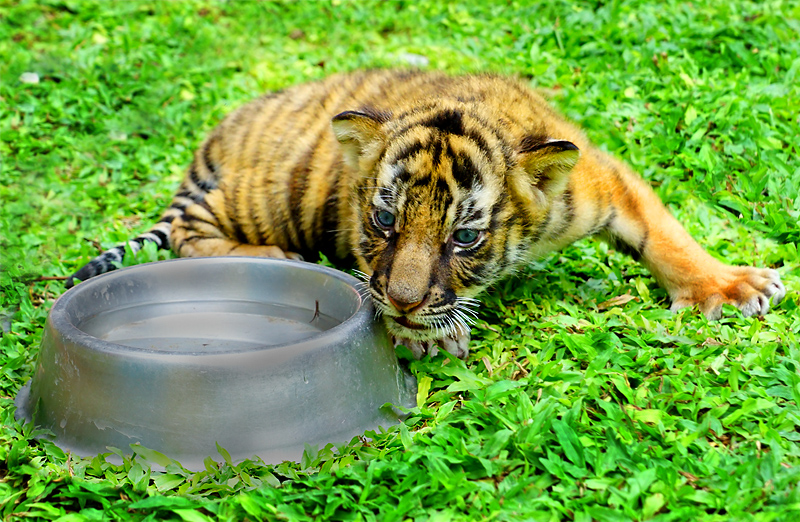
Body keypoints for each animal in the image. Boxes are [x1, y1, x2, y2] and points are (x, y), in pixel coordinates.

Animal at [66, 69, 786, 360]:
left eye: (464, 237)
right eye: (384, 222)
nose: (407, 304)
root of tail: (210, 146)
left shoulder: (601, 178)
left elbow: (667, 235)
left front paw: (730, 285)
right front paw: (430, 334)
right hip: (271, 192)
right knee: (192, 232)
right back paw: (277, 257)